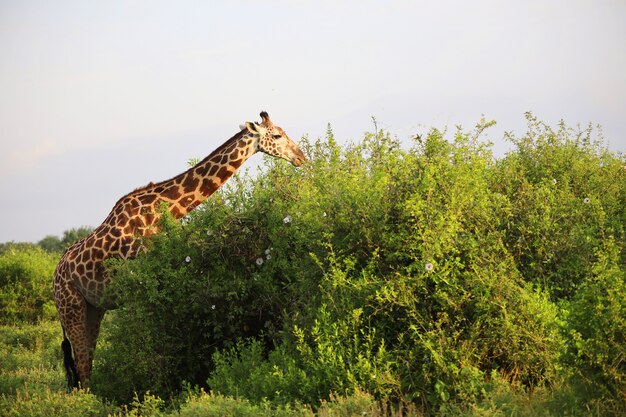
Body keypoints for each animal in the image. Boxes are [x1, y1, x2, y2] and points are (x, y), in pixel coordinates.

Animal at [53, 111, 304, 386]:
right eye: (277, 135)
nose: (301, 156)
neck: (160, 212)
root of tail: (55, 278)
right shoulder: (138, 282)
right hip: (70, 306)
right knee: (81, 363)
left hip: (93, 308)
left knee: (85, 362)